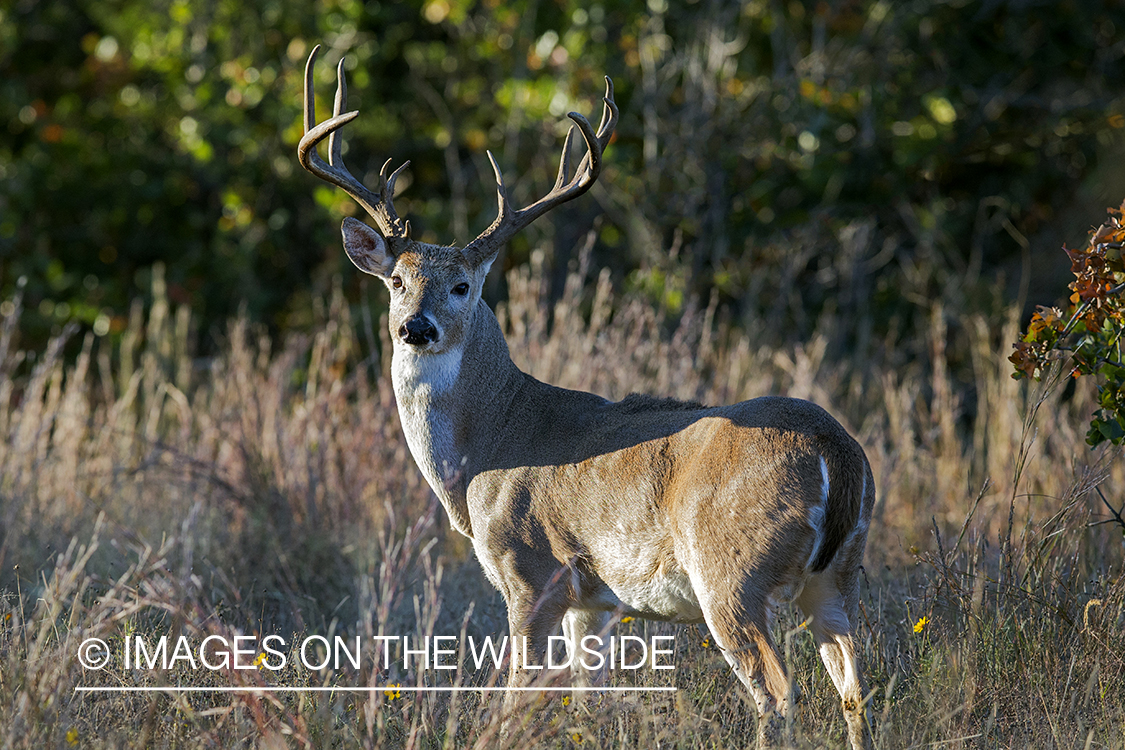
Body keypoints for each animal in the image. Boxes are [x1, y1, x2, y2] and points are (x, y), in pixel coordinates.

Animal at [299, 46, 877, 750]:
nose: (416, 327)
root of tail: (834, 448)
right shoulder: (595, 601)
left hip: (731, 567)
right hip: (841, 574)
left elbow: (517, 700)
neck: (486, 449)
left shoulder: (532, 570)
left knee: (775, 690)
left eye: (462, 286)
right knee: (853, 689)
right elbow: (587, 700)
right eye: (397, 281)